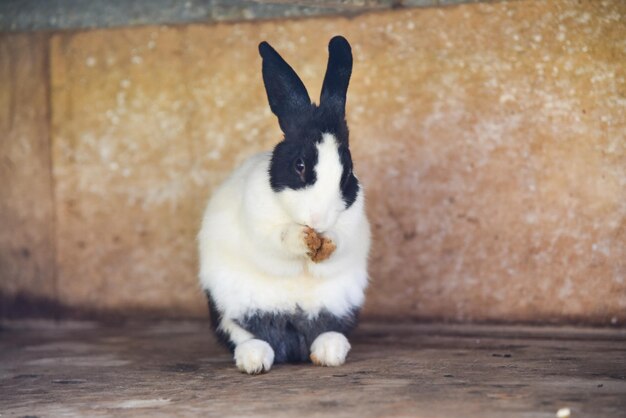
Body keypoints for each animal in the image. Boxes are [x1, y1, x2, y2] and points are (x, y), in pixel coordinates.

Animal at [197, 36, 368, 376]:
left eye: (348, 172)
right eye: (299, 165)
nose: (318, 218)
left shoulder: (353, 228)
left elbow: (342, 241)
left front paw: (326, 243)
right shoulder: (259, 227)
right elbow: (278, 239)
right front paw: (303, 238)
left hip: (341, 305)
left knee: (326, 331)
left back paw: (330, 351)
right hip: (228, 306)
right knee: (245, 335)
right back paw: (254, 360)